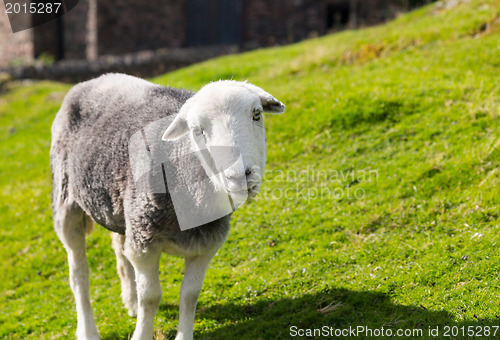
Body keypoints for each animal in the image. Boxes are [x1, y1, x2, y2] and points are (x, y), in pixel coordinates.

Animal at [51, 72, 286, 340]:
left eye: (257, 114)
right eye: (197, 130)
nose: (239, 177)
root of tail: (93, 79)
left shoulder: (205, 245)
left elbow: (190, 295)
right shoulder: (144, 243)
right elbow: (151, 297)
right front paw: (141, 335)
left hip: (121, 206)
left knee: (120, 248)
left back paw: (129, 301)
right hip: (66, 200)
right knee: (79, 273)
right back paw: (88, 330)